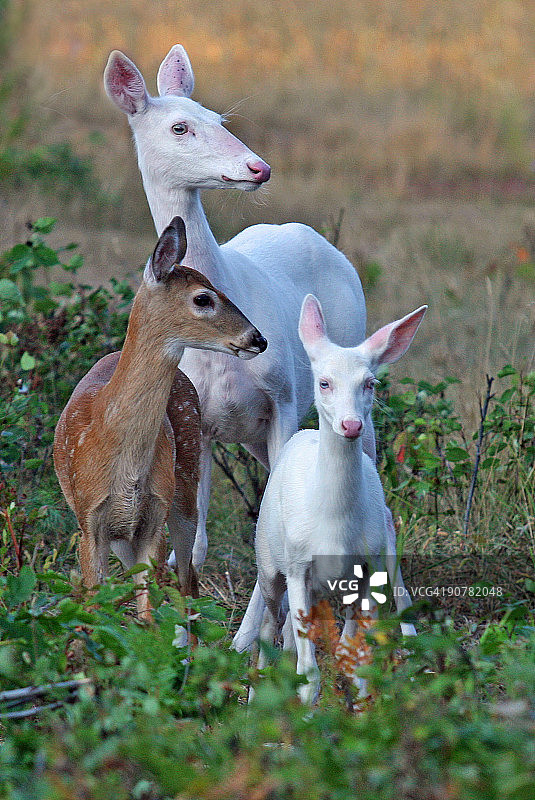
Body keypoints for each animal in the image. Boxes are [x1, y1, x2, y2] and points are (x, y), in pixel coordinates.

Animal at [53, 216, 267, 620]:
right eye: (203, 298)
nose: (258, 339)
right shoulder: (90, 520)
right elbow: (95, 609)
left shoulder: (153, 518)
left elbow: (150, 616)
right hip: (126, 533)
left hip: (183, 491)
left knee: (188, 583)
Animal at [235, 295, 426, 704]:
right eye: (324, 383)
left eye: (370, 383)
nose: (351, 425)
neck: (335, 526)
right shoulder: (297, 565)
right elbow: (309, 671)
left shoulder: (371, 566)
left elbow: (355, 657)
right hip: (268, 562)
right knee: (269, 631)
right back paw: (255, 699)